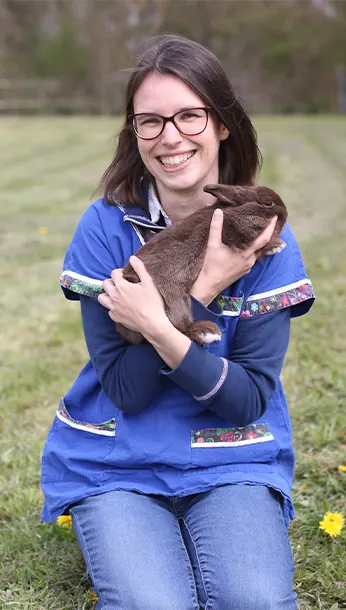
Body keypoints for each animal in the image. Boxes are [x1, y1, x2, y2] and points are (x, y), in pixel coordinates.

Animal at [116, 182, 286, 342]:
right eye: (268, 203)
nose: (285, 214)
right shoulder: (235, 229)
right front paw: (277, 245)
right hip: (174, 297)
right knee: (178, 327)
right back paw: (208, 333)